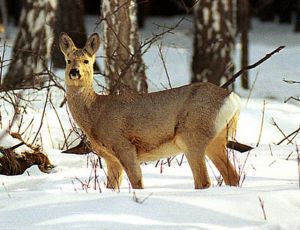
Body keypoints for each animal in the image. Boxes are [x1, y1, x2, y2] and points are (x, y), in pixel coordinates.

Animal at [59, 32, 240, 190]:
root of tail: (233, 99)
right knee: (232, 176)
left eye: (86, 61)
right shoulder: (110, 158)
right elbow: (112, 187)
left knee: (203, 181)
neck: (95, 113)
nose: (74, 71)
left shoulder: (123, 145)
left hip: (192, 135)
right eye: (68, 60)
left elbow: (137, 183)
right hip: (217, 139)